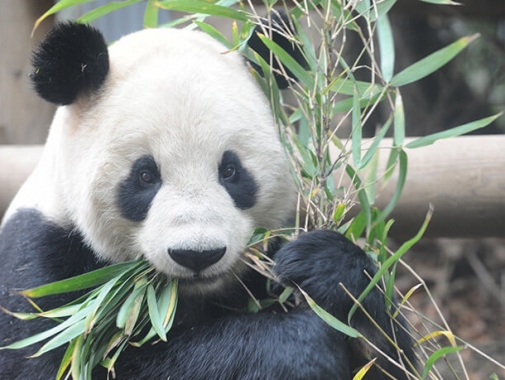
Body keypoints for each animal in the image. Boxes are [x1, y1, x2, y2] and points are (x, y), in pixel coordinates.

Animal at [0, 21, 416, 380]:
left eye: (230, 170)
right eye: (145, 176)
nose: (197, 255)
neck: (181, 297)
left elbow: (391, 358)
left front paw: (323, 269)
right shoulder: (41, 269)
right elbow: (67, 361)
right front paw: (300, 343)